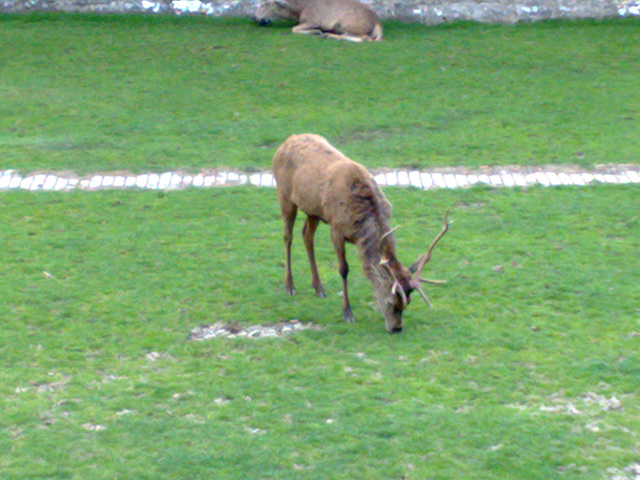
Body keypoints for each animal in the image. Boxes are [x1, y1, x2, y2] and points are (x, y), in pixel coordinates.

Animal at [254, 0, 384, 42]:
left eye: (267, 3)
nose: (255, 16)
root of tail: (377, 22)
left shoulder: (314, 20)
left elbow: (294, 28)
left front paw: (315, 31)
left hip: (347, 22)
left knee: (364, 38)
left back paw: (328, 35)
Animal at [272, 133, 448, 332]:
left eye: (407, 303)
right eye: (390, 302)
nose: (396, 328)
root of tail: (286, 141)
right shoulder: (336, 228)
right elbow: (343, 269)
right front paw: (347, 312)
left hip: (313, 209)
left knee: (307, 235)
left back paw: (318, 288)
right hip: (284, 194)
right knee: (288, 237)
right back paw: (289, 286)